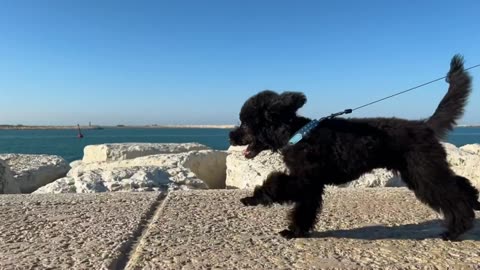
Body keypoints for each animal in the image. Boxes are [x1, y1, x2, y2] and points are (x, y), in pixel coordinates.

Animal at [231, 55, 478, 240]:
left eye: (245, 123)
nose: (231, 136)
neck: (296, 134)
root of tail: (425, 125)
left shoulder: (305, 178)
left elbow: (276, 184)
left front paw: (254, 199)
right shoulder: (310, 185)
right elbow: (305, 208)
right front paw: (297, 231)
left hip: (424, 171)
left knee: (452, 195)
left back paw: (457, 229)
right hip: (421, 171)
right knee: (459, 185)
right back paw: (474, 202)